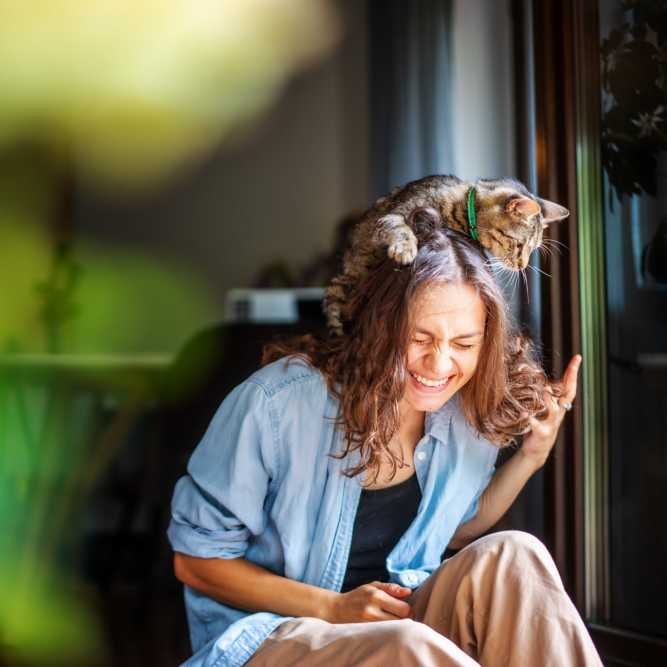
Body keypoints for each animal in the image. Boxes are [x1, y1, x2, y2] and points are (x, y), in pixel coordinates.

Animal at [324, 175, 568, 336]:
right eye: (519, 246)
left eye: (532, 249)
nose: (522, 265)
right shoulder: (391, 216)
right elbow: (398, 226)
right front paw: (405, 248)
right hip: (346, 280)